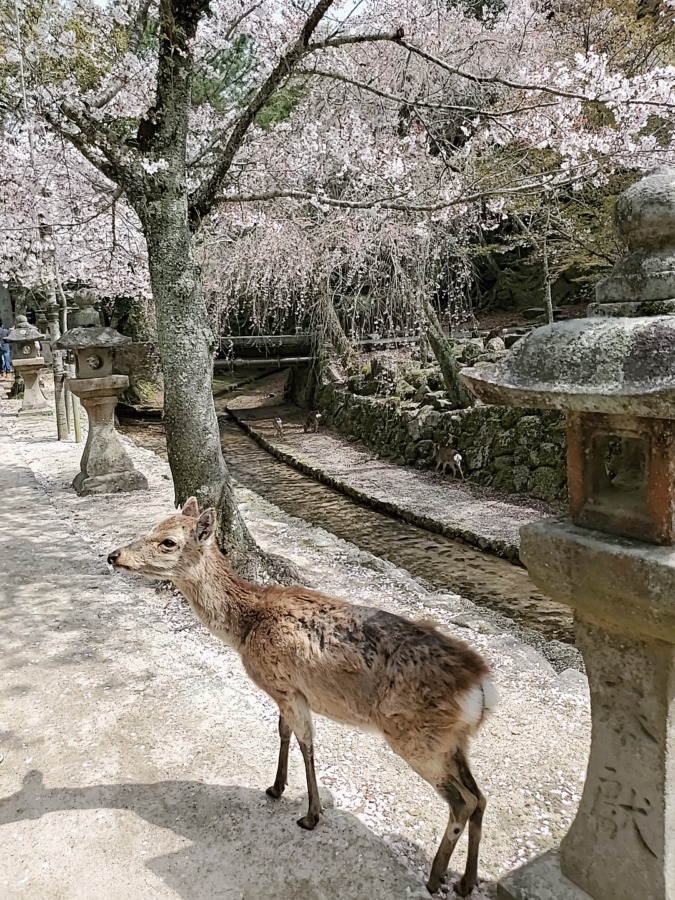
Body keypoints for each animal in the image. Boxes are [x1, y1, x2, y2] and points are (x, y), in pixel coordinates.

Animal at [105, 496, 496, 896]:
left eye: (168, 541)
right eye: (153, 526)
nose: (114, 555)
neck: (245, 628)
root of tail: (482, 688)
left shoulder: (286, 687)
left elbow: (306, 742)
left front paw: (310, 814)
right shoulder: (287, 689)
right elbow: (284, 732)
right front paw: (277, 787)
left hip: (415, 736)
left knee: (462, 801)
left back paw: (435, 877)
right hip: (453, 741)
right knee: (480, 797)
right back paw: (466, 881)